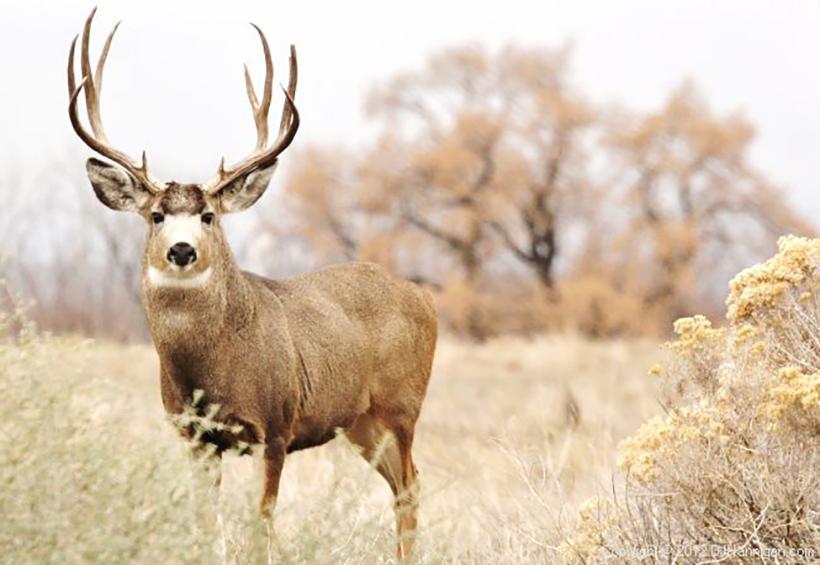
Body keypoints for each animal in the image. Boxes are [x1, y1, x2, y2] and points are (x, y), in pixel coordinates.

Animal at [66, 8, 437, 560]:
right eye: (156, 215)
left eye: (208, 215)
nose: (182, 250)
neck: (213, 370)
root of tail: (424, 295)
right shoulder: (194, 437)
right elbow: (205, 526)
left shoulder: (277, 425)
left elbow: (261, 523)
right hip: (361, 423)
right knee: (403, 485)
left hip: (401, 405)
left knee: (411, 485)